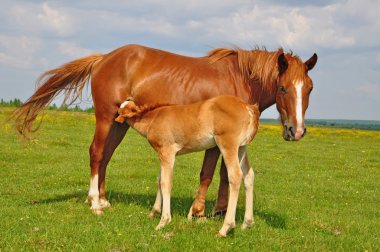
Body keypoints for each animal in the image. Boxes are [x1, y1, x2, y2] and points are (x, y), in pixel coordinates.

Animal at [14, 44, 318, 216]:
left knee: (106, 156)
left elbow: (223, 175)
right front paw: (199, 212)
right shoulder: (215, 141)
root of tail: (103, 58)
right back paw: (95, 203)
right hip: (105, 117)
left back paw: (104, 199)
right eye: (283, 88)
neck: (239, 79)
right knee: (96, 152)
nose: (296, 131)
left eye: (310, 88)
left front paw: (220, 211)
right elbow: (208, 174)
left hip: (119, 123)